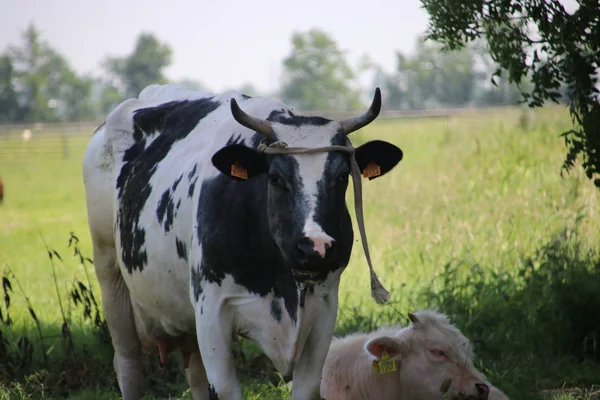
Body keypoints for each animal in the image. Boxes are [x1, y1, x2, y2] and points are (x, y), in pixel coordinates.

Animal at [83, 83, 404, 398]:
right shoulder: (211, 310)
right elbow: (224, 389)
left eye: (342, 177)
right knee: (128, 364)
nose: (315, 249)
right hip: (110, 274)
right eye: (275, 178)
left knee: (194, 373)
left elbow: (309, 386)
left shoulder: (325, 308)